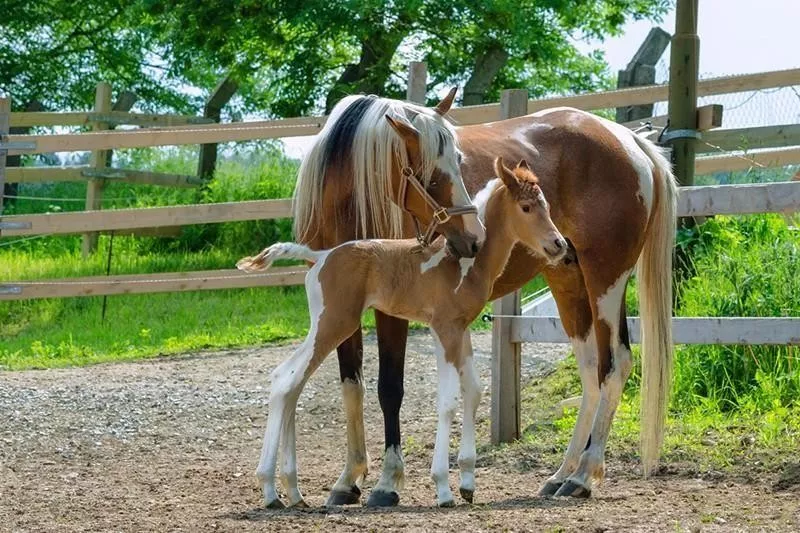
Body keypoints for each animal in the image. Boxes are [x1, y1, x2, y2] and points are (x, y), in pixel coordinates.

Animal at [238, 158, 568, 508]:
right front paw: (443, 488)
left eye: (547, 205)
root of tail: (321, 256)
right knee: (286, 381)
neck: (464, 262)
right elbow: (448, 400)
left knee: (288, 382)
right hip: (335, 324)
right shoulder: (444, 329)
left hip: (326, 325)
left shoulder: (461, 329)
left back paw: (291, 490)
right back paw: (271, 490)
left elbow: (474, 391)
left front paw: (467, 482)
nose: (559, 245)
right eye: (526, 207)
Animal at [294, 94, 676, 502]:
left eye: (459, 161)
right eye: (430, 173)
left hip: (606, 278)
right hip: (567, 280)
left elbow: (389, 388)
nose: (474, 235)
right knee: (591, 371)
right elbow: (352, 386)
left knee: (615, 364)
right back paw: (561, 475)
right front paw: (348, 480)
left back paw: (583, 476)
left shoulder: (390, 313)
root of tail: (629, 140)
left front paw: (387, 483)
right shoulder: (340, 305)